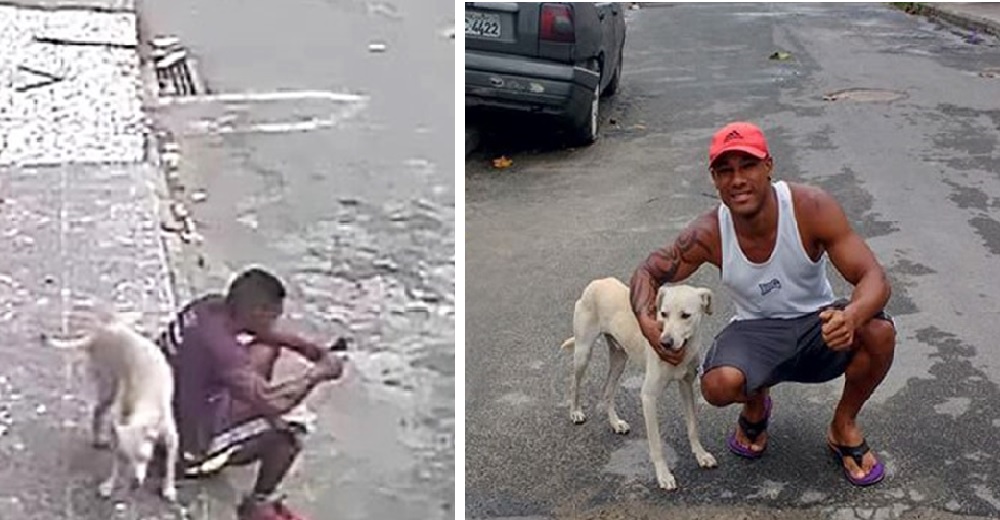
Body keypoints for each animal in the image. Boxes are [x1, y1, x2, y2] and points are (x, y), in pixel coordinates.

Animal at [43, 306, 180, 502]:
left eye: (143, 457)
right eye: (126, 460)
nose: (134, 483)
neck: (145, 406)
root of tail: (98, 334)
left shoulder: (172, 438)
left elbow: (170, 464)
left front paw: (168, 487)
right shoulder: (119, 435)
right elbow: (115, 462)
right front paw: (110, 484)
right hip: (107, 389)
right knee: (97, 411)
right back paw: (97, 439)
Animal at [564, 278, 720, 490]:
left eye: (686, 315)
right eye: (663, 314)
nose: (665, 343)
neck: (682, 351)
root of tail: (598, 281)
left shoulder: (686, 386)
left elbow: (692, 427)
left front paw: (701, 454)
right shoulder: (648, 396)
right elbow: (656, 444)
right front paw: (663, 475)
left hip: (620, 359)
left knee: (607, 391)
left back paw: (615, 423)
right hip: (583, 352)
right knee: (574, 383)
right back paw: (575, 412)